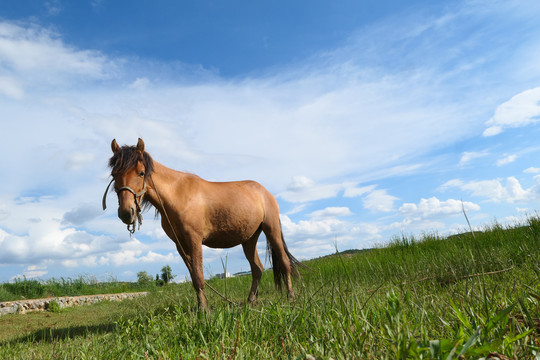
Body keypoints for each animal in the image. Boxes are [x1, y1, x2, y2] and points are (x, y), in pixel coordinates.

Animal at [102, 138, 300, 310]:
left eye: (141, 173)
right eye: (114, 174)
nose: (126, 213)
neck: (178, 195)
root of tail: (265, 192)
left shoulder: (194, 240)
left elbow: (198, 276)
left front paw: (203, 310)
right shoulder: (180, 245)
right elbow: (193, 276)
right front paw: (200, 306)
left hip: (271, 229)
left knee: (283, 263)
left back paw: (290, 297)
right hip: (249, 238)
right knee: (257, 269)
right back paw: (251, 300)